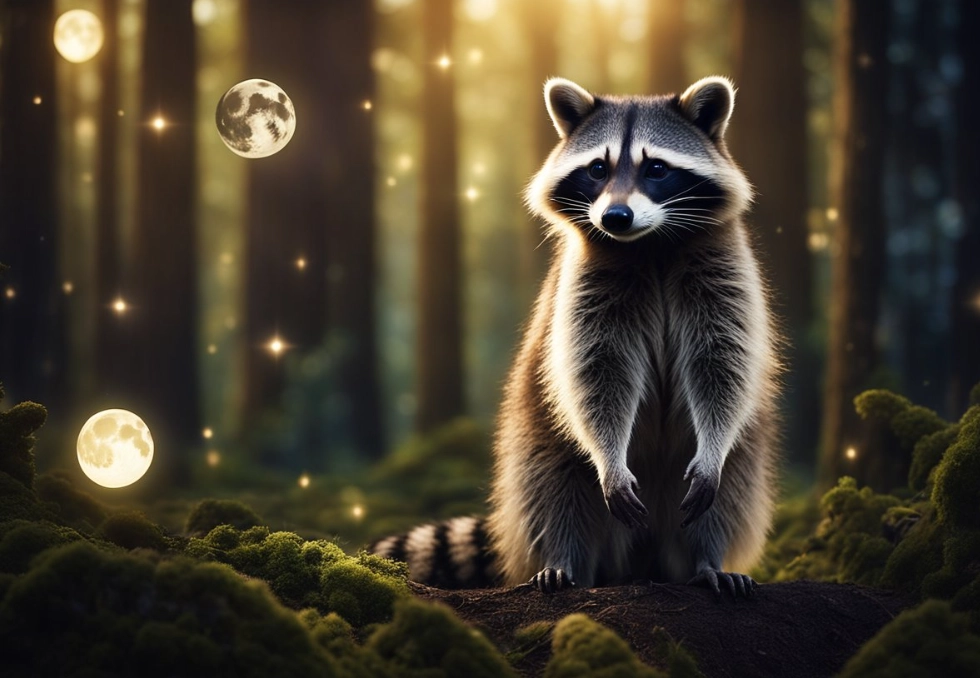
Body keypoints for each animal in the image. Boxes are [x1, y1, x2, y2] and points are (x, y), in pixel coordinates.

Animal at [372, 76, 780, 598]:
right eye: (597, 169)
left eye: (656, 168)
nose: (616, 217)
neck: (649, 244)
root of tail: (638, 560)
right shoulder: (585, 285)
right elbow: (597, 373)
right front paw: (609, 459)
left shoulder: (723, 269)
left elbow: (722, 363)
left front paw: (712, 448)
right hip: (533, 436)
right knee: (554, 491)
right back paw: (565, 561)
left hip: (741, 461)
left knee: (727, 497)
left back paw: (706, 560)